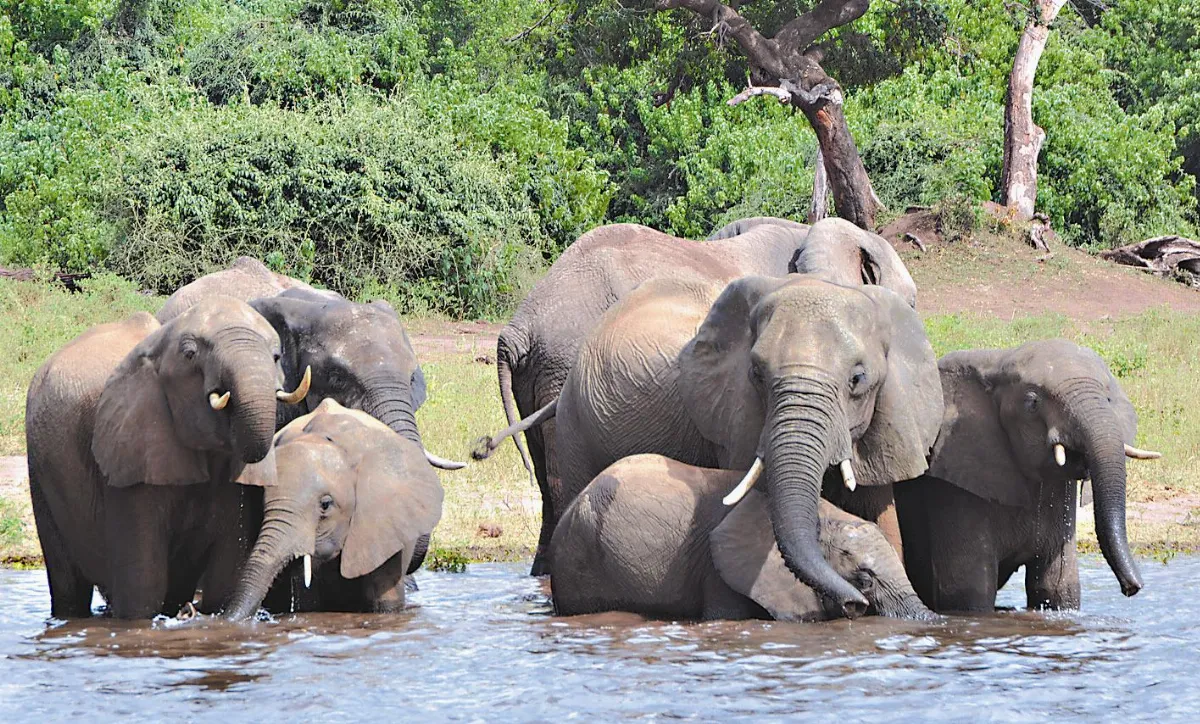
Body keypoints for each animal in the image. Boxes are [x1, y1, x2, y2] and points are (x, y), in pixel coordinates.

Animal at [25, 297, 311, 618]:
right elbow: (142, 586)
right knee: (69, 585)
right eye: (190, 355)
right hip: (40, 472)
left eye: (276, 357)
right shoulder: (130, 452)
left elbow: (225, 577)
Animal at [894, 339, 1159, 612]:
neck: (996, 362)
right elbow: (968, 594)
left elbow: (1058, 589)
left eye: (1108, 399)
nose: (1132, 588)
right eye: (1032, 403)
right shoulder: (951, 488)